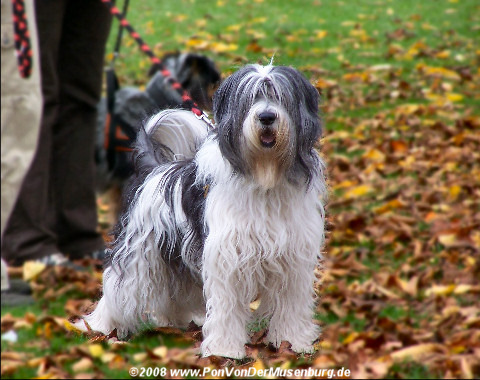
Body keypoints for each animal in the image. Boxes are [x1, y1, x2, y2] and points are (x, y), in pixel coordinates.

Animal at [77, 63, 328, 358]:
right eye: (251, 98)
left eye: (279, 96)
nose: (266, 117)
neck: (265, 178)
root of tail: (155, 169)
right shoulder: (227, 259)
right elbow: (227, 309)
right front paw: (225, 350)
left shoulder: (294, 259)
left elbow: (291, 305)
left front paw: (294, 342)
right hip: (139, 254)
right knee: (118, 289)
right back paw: (97, 327)